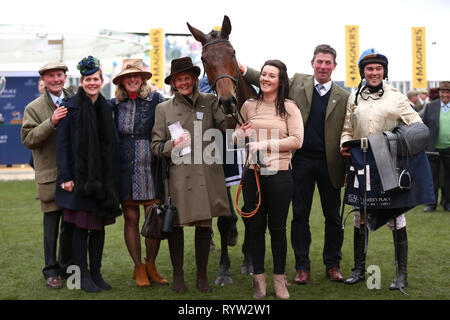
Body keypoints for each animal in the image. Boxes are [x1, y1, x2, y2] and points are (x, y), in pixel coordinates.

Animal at [187, 14, 256, 284]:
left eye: (233, 52)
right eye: (204, 59)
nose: (227, 101)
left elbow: (249, 211)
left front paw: (249, 261)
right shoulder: (222, 170)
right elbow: (225, 218)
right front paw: (224, 269)